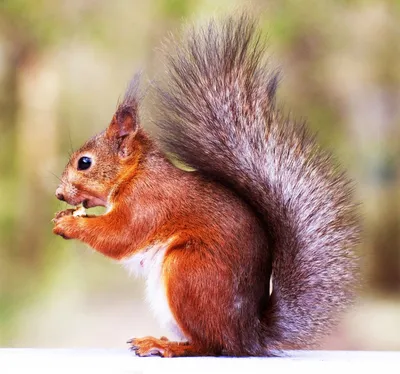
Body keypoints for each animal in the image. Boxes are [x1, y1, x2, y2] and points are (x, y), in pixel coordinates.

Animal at [51, 14, 360, 358]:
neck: (135, 174)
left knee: (210, 344)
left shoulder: (149, 203)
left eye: (84, 162)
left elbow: (120, 235)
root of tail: (247, 335)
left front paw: (69, 224)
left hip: (190, 271)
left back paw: (163, 345)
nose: (59, 194)